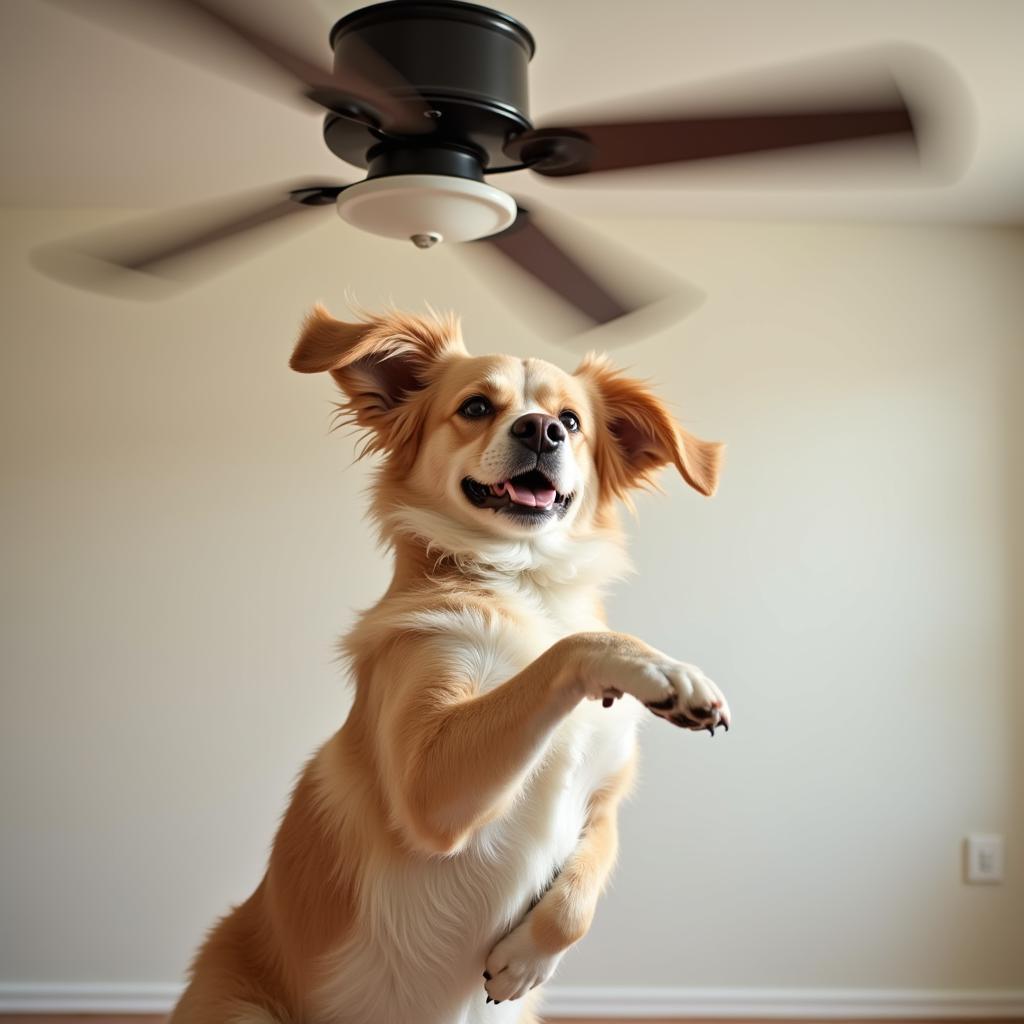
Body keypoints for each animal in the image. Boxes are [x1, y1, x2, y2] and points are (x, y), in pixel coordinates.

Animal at [167, 305, 729, 1024]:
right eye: (476, 406)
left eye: (571, 420)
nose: (541, 429)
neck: (525, 584)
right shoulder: (428, 783)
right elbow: (571, 647)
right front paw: (662, 670)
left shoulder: (604, 798)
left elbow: (586, 884)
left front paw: (525, 961)